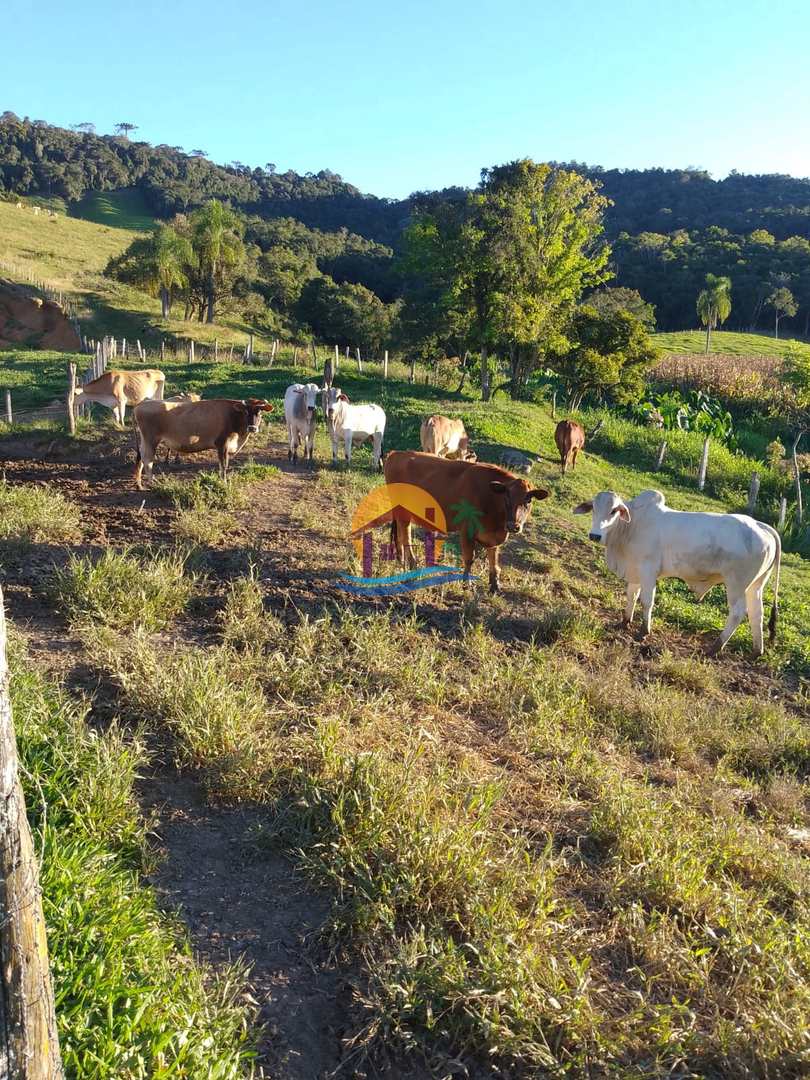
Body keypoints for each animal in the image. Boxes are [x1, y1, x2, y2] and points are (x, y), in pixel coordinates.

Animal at [133, 397, 273, 490]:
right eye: (245, 412)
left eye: (259, 412)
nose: (252, 428)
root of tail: (141, 404)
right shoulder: (222, 444)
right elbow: (223, 466)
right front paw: (224, 483)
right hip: (151, 439)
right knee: (147, 460)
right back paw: (151, 483)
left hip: (145, 440)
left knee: (140, 459)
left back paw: (139, 484)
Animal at [384, 451, 552, 596]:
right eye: (506, 497)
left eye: (528, 500)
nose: (513, 526)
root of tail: (396, 453)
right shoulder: (467, 529)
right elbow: (469, 558)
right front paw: (467, 584)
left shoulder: (494, 535)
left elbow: (494, 561)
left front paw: (495, 586)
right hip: (403, 512)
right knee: (406, 537)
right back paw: (412, 566)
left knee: (399, 535)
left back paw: (400, 560)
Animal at [574, 492, 781, 656]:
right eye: (593, 508)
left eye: (613, 511)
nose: (595, 535)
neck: (632, 526)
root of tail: (761, 525)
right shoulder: (635, 569)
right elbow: (631, 595)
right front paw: (624, 622)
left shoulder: (648, 569)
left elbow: (646, 601)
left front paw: (643, 631)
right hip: (755, 585)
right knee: (756, 613)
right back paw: (756, 651)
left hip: (736, 583)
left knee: (738, 612)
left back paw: (715, 648)